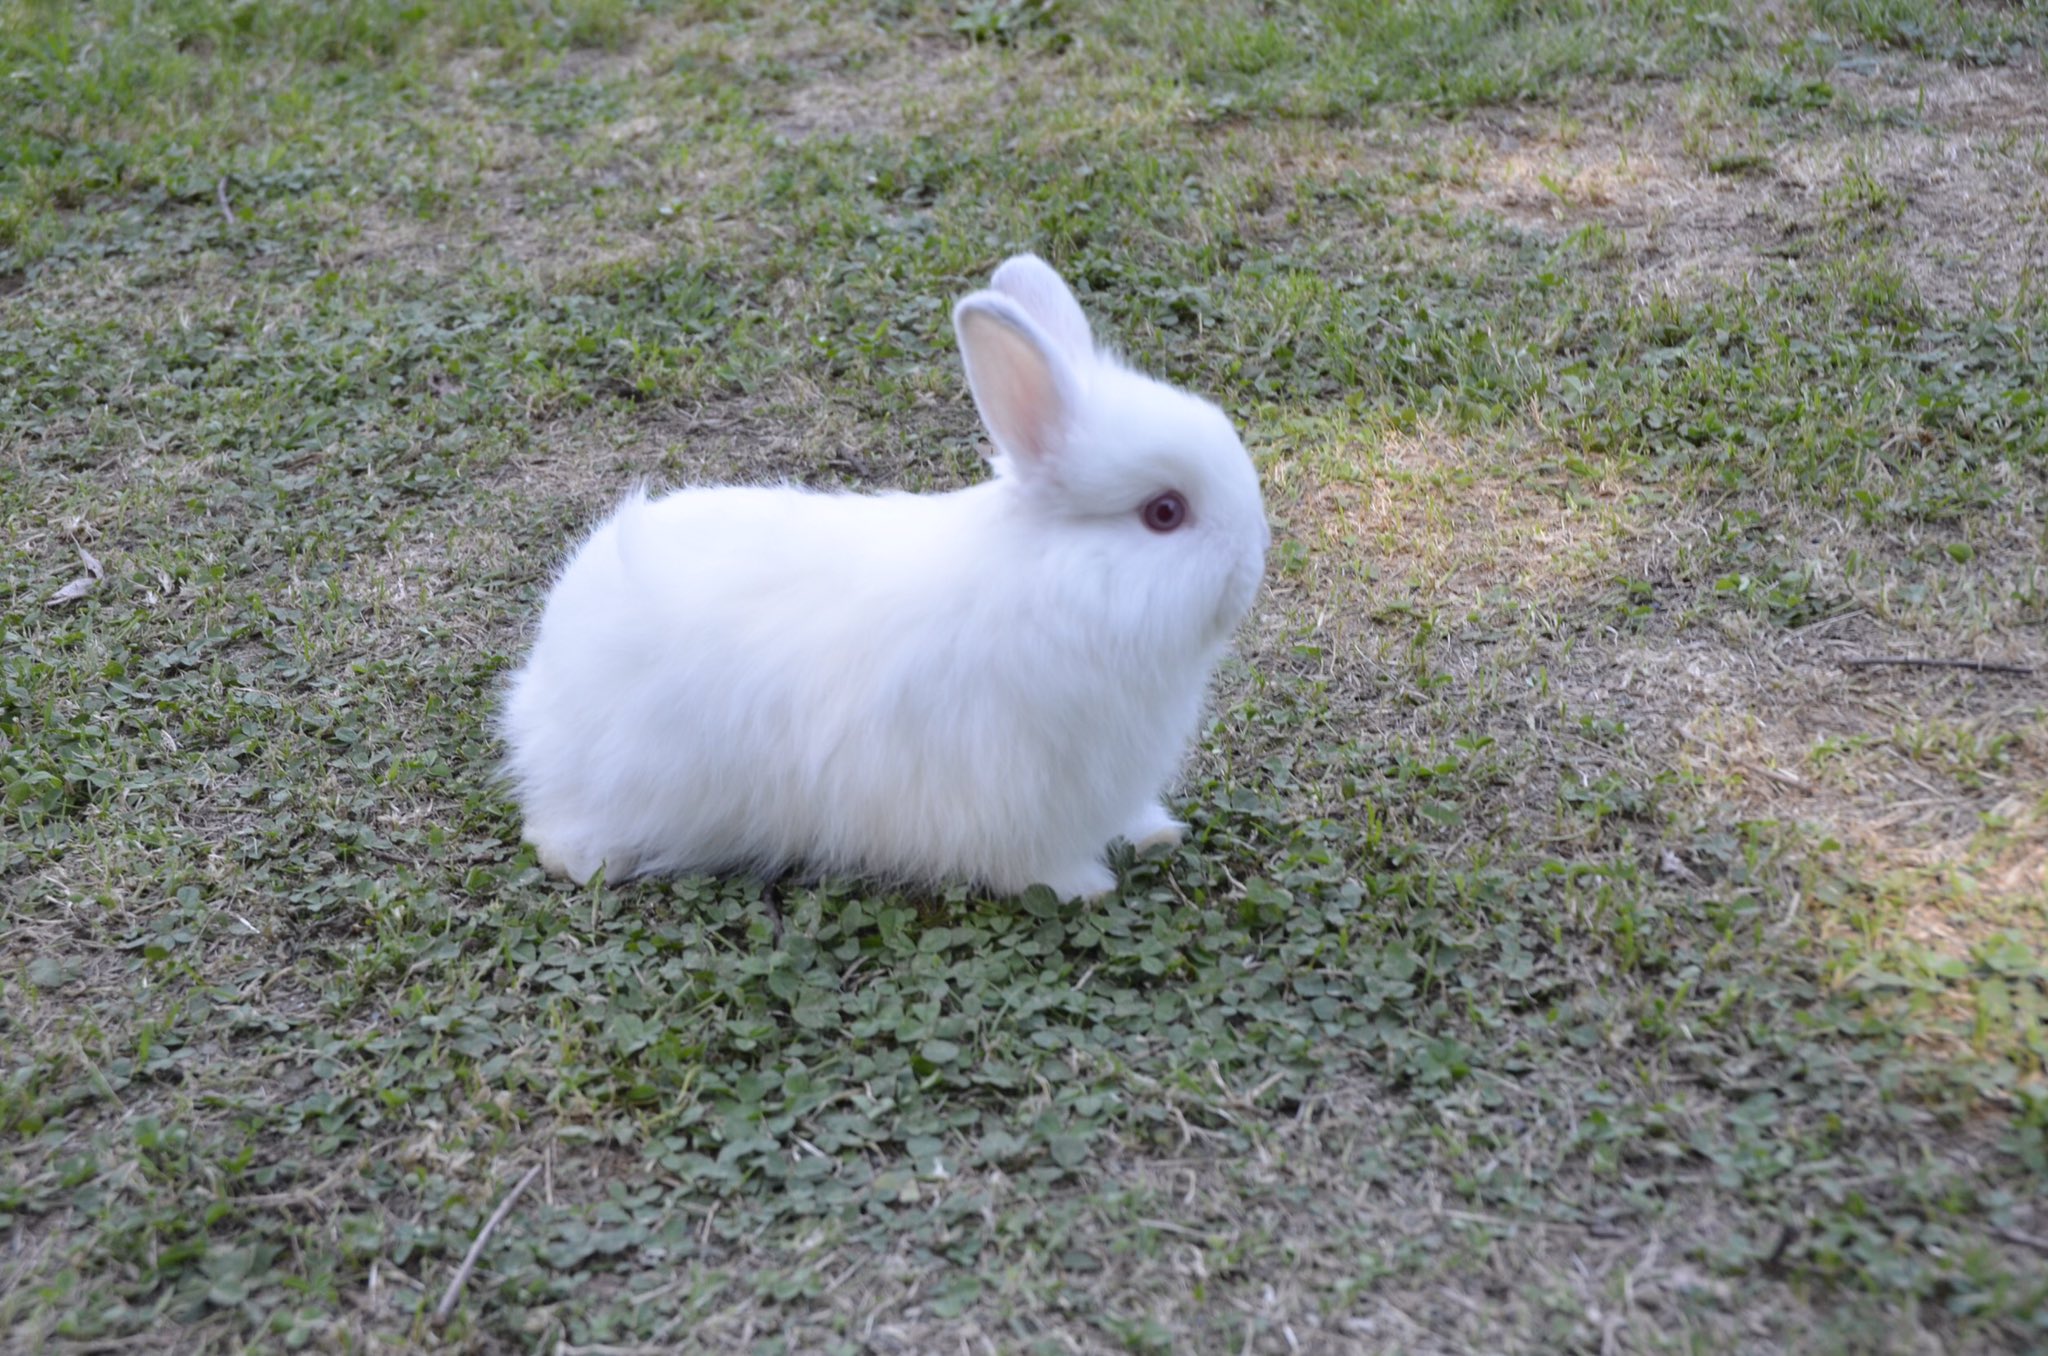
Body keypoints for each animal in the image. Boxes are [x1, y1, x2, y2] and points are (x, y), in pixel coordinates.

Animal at [497, 258, 1261, 901]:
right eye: (1164, 513)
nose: (1253, 564)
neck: (1060, 590)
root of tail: (546, 670)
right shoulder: (1014, 792)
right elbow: (1038, 866)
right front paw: (1088, 888)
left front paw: (1156, 834)